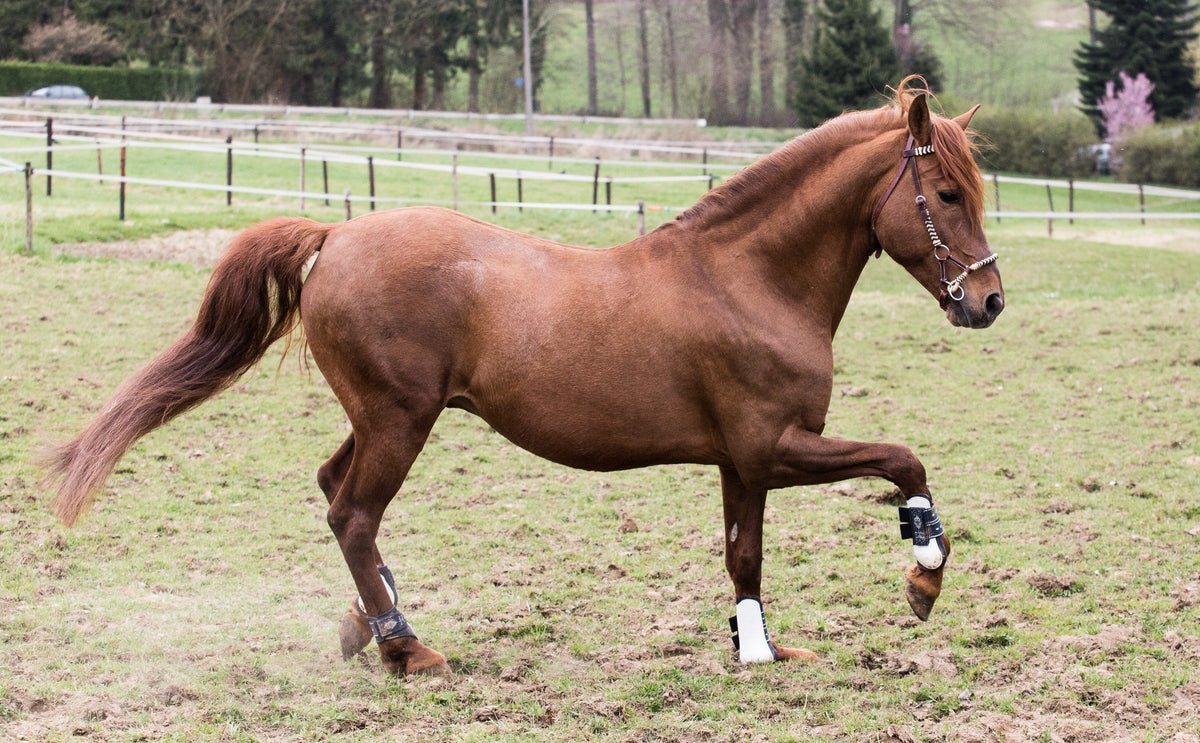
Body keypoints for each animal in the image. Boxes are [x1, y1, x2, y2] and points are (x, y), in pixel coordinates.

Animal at [44, 78, 1003, 677]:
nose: (988, 300)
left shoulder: (744, 461)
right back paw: (406, 647)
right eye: (947, 195)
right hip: (401, 420)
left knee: (332, 490)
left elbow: (744, 554)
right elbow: (905, 461)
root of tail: (337, 235)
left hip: (381, 416)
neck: (747, 277)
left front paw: (758, 651)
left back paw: (368, 621)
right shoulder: (778, 446)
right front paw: (923, 573)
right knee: (351, 513)